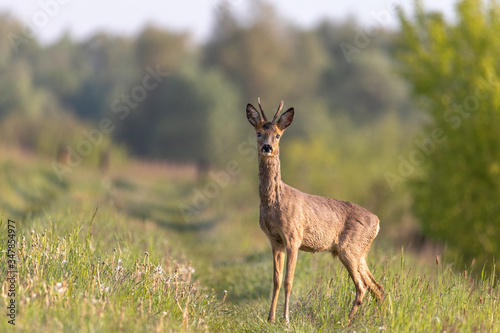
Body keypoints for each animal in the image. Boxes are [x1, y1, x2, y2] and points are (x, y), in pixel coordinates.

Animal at [245, 98, 382, 322]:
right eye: (258, 133)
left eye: (278, 135)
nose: (267, 147)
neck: (273, 203)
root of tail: (377, 222)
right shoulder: (275, 240)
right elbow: (275, 281)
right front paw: (270, 318)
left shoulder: (294, 237)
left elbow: (288, 281)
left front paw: (286, 319)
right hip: (360, 252)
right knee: (377, 287)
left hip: (349, 249)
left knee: (362, 287)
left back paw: (346, 321)